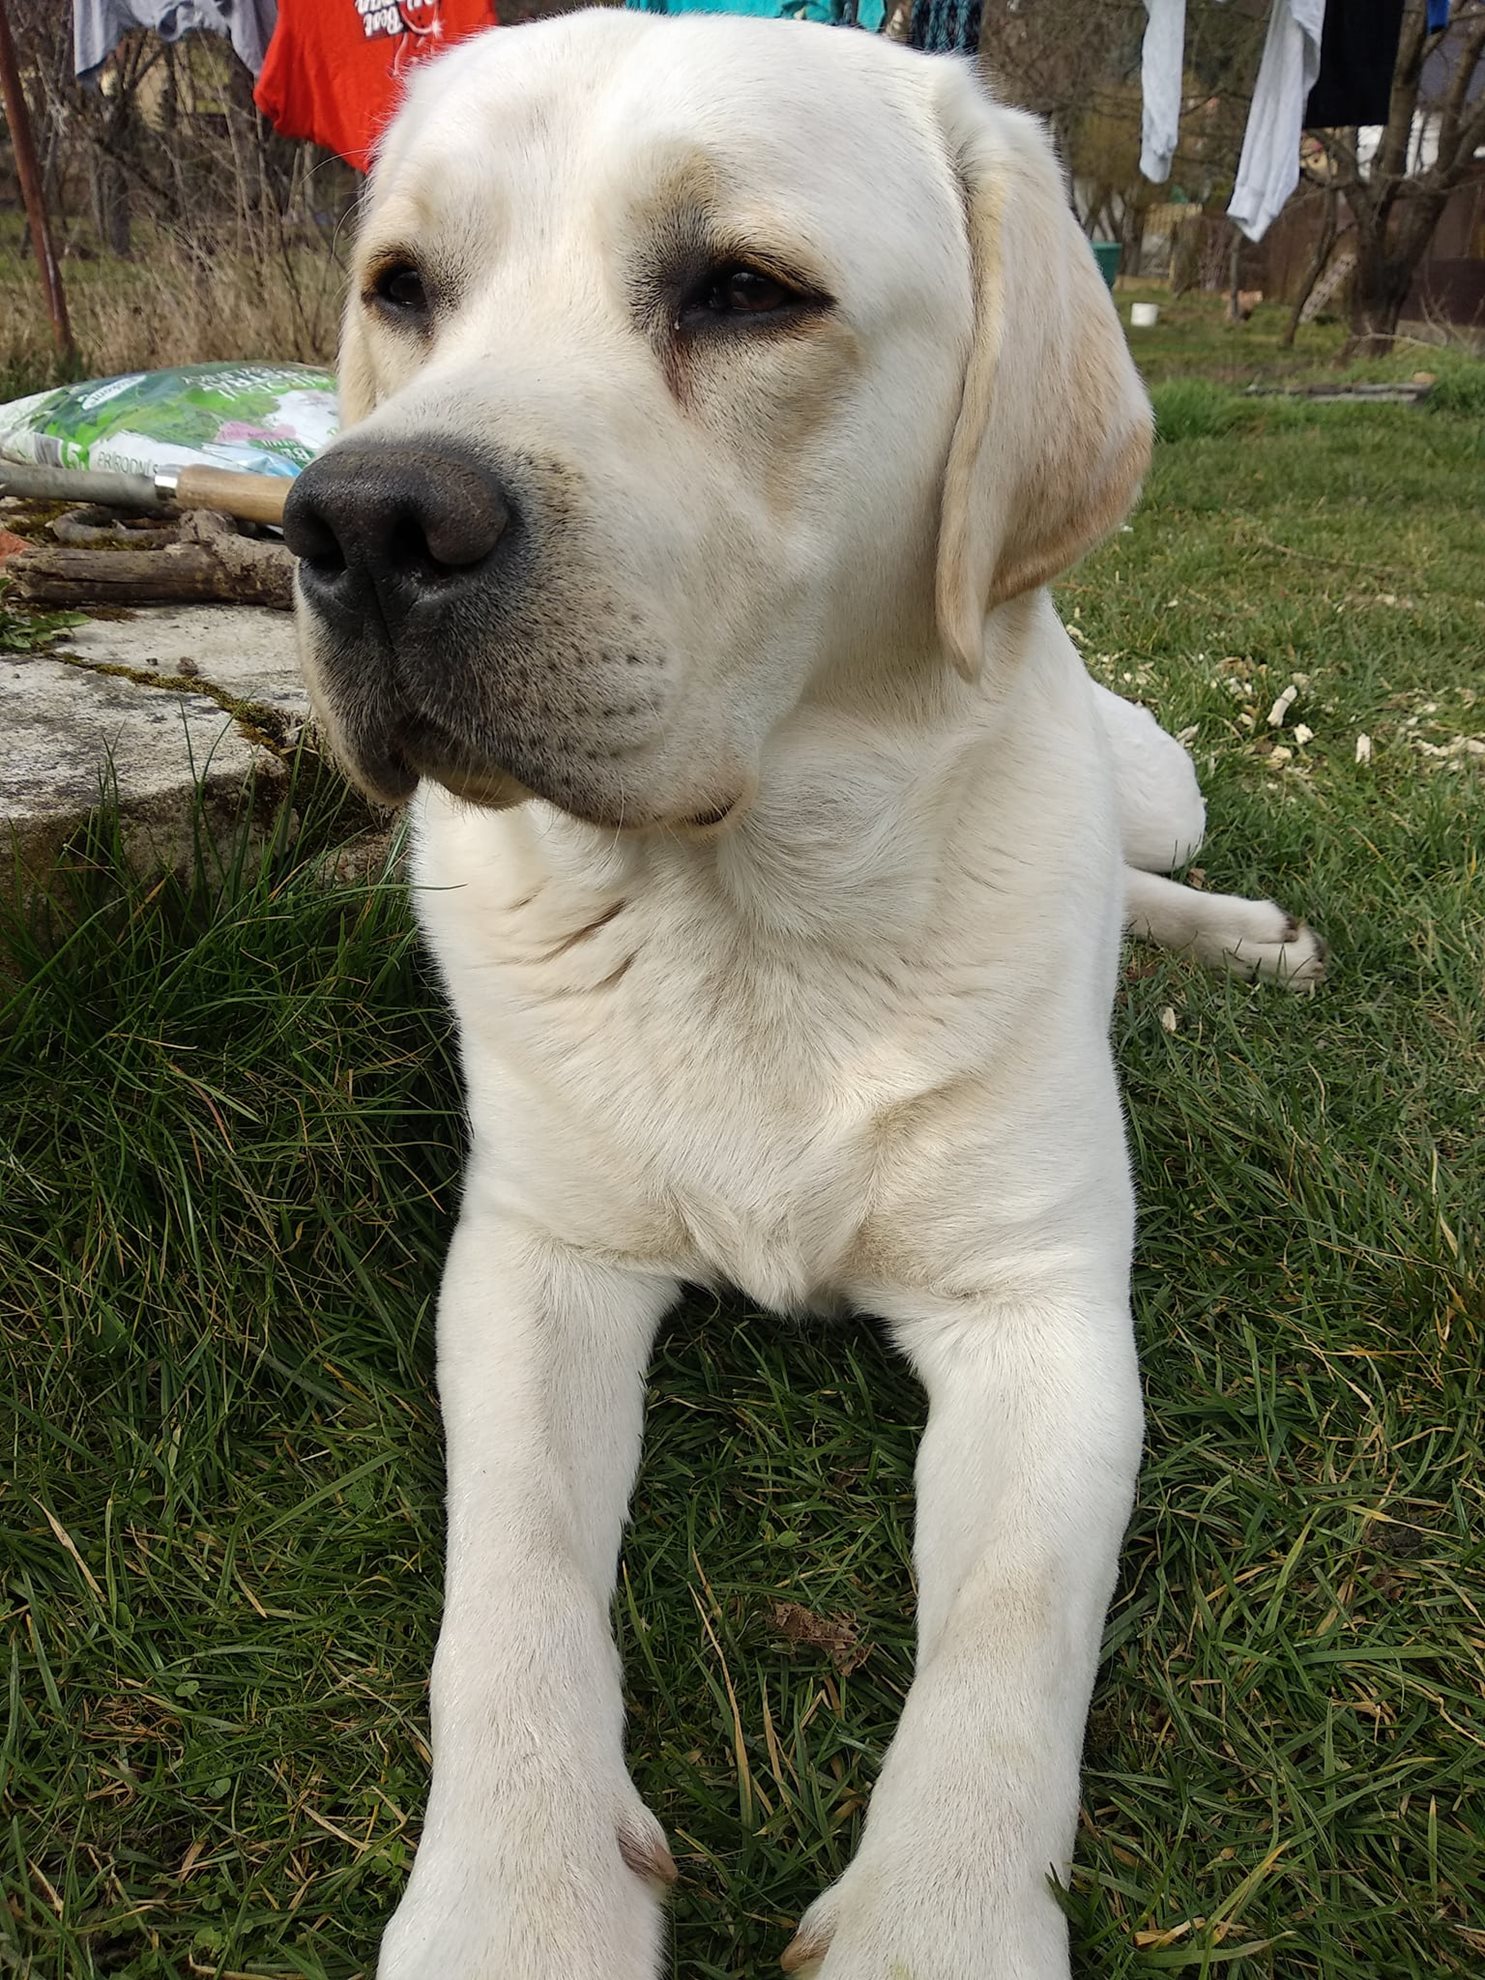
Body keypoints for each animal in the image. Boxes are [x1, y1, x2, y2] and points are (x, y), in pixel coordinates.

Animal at [283, 14, 1323, 1975]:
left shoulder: (1044, 1311)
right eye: (404, 289)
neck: (747, 913)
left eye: (745, 291)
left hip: (1161, 784)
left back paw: (1240, 934)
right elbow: (509, 1584)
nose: (361, 520)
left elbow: (1008, 1639)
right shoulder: (534, 1262)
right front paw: (519, 1894)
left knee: (1144, 864)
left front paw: (943, 1926)